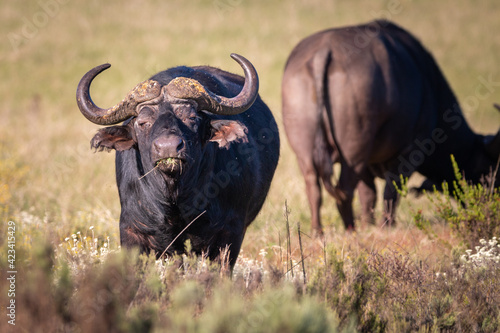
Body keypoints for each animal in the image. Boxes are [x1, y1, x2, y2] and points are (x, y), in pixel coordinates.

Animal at [78, 55, 282, 268]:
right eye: (142, 122)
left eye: (191, 117)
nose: (168, 147)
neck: (174, 199)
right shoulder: (132, 231)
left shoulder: (230, 234)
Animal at [284, 20, 498, 233]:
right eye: (489, 172)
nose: (488, 204)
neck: (431, 88)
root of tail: (324, 51)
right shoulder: (411, 151)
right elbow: (392, 190)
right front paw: (385, 225)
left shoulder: (368, 163)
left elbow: (369, 193)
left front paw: (368, 224)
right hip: (354, 152)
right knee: (345, 190)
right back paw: (350, 229)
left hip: (306, 151)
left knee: (314, 188)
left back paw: (318, 232)